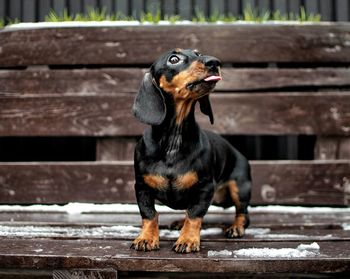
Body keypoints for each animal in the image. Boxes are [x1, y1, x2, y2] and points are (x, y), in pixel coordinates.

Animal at [130, 48, 250, 254]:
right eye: (174, 59)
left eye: (198, 53)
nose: (214, 62)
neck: (173, 141)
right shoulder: (142, 186)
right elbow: (149, 214)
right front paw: (146, 238)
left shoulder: (205, 187)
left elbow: (194, 215)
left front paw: (187, 239)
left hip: (240, 187)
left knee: (242, 213)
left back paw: (235, 228)